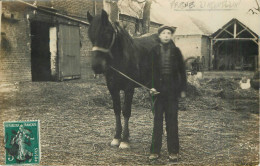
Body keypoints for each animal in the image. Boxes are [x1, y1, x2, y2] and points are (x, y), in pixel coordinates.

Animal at [87, 9, 158, 148]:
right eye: (90, 35)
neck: (121, 59)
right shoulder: (112, 88)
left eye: (107, 34)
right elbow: (117, 109)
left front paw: (124, 140)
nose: (97, 67)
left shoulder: (129, 88)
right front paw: (117, 137)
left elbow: (126, 111)